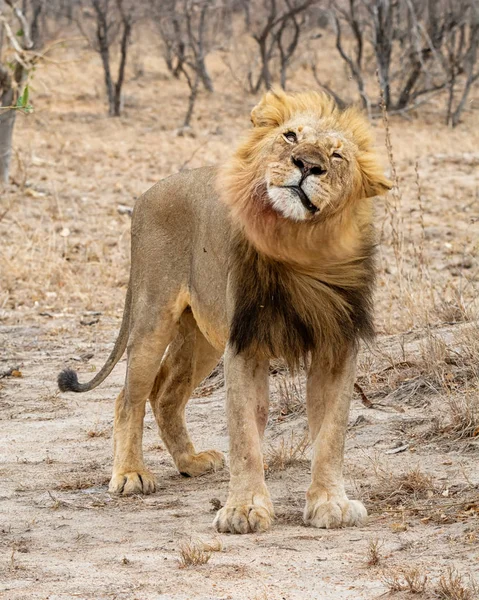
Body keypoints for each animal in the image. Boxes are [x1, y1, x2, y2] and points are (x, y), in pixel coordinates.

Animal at [58, 89, 392, 536]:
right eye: (290, 136)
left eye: (337, 155)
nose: (307, 165)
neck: (299, 245)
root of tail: (148, 192)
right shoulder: (246, 345)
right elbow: (245, 435)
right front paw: (244, 510)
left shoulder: (336, 346)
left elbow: (332, 433)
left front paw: (329, 503)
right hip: (153, 315)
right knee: (129, 397)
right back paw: (130, 475)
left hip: (202, 339)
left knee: (166, 393)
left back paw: (190, 462)